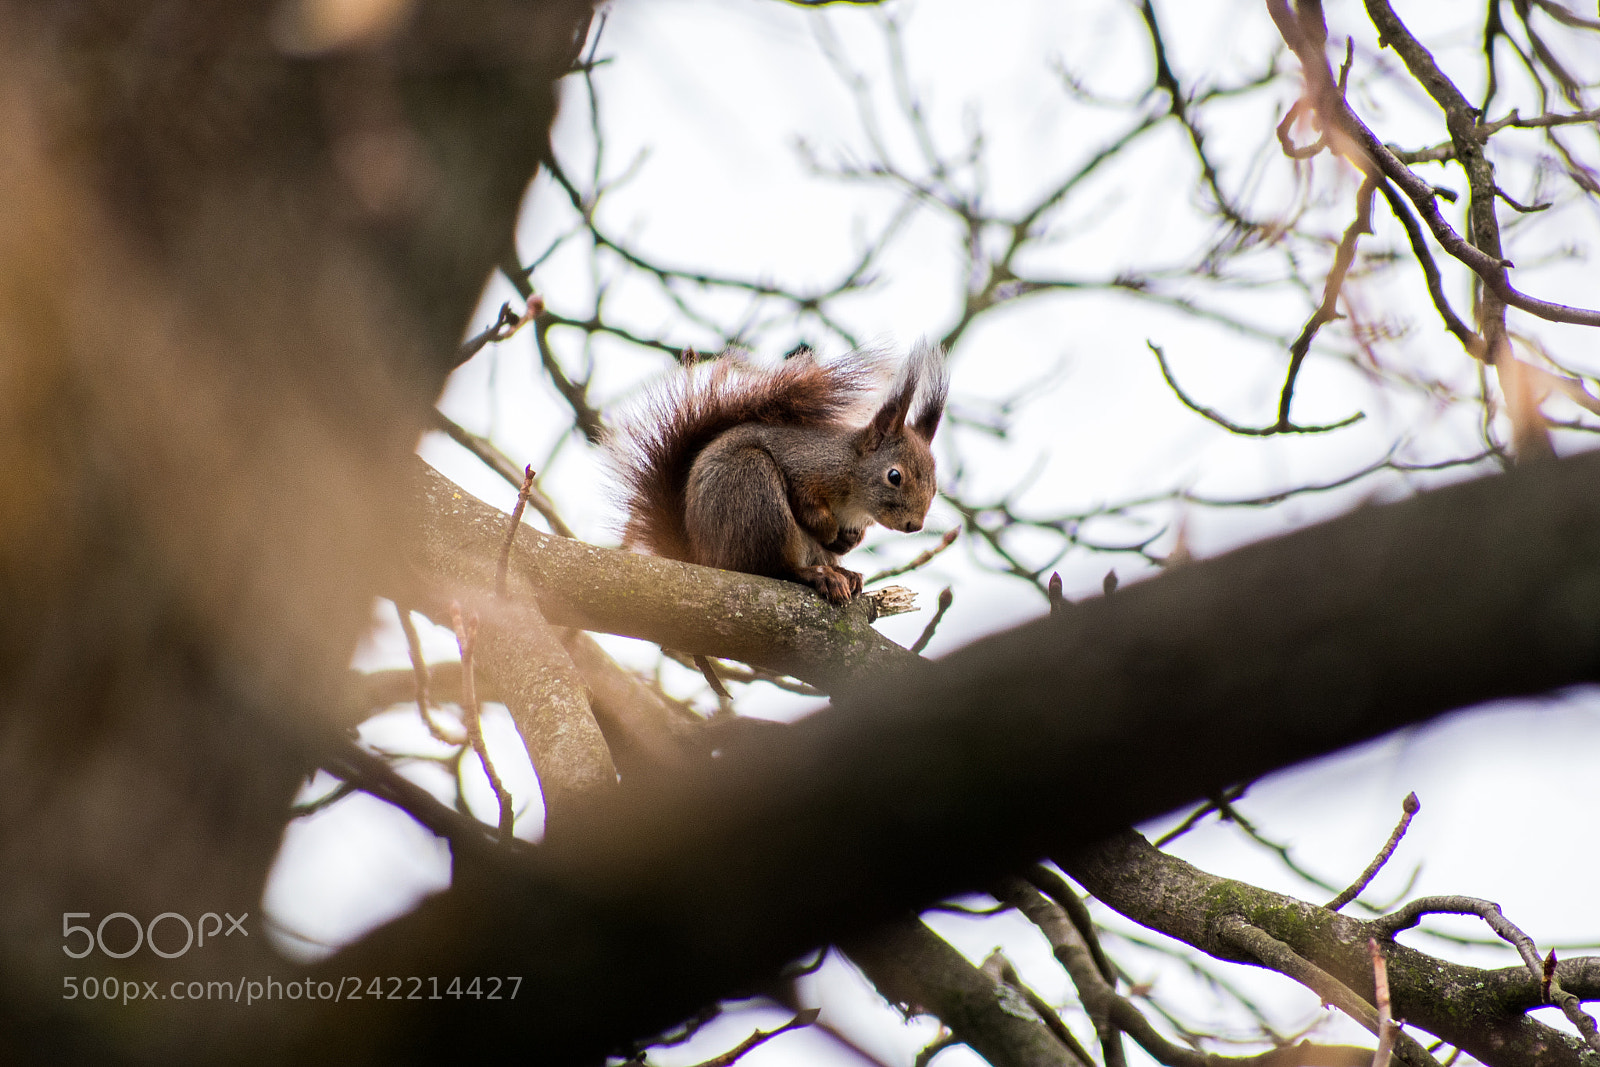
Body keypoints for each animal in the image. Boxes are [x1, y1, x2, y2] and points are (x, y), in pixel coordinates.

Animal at [610, 344, 948, 604]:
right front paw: (828, 529)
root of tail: (701, 558)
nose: (914, 525)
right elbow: (806, 504)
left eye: (935, 487)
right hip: (755, 494)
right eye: (894, 476)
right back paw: (816, 575)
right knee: (772, 568)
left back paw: (845, 573)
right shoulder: (804, 465)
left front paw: (849, 540)